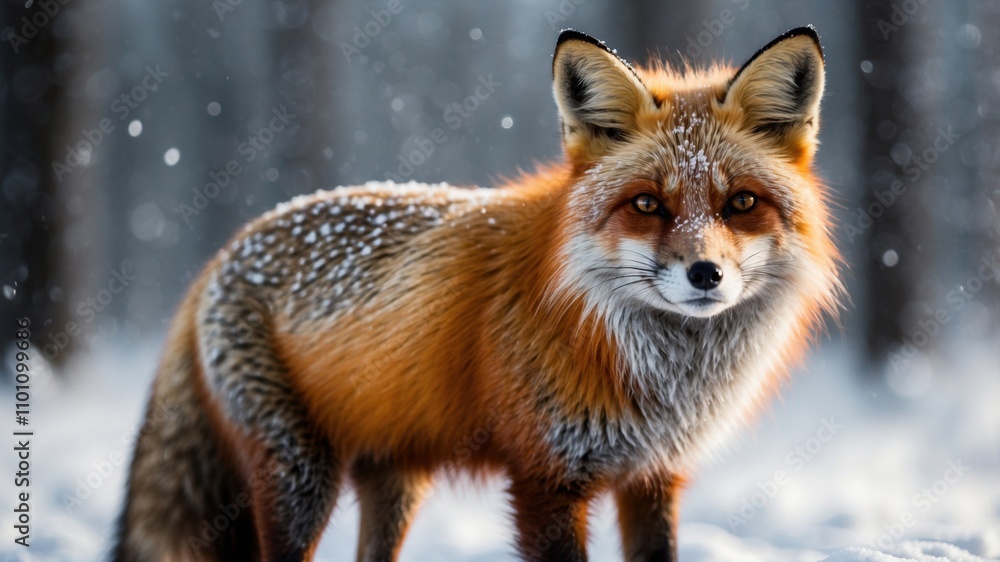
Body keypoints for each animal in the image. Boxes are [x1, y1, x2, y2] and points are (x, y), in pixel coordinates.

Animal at [114, 26, 840, 562]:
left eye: (741, 203)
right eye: (646, 205)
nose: (705, 274)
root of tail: (224, 251)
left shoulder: (652, 478)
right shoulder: (546, 477)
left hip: (393, 478)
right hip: (300, 477)